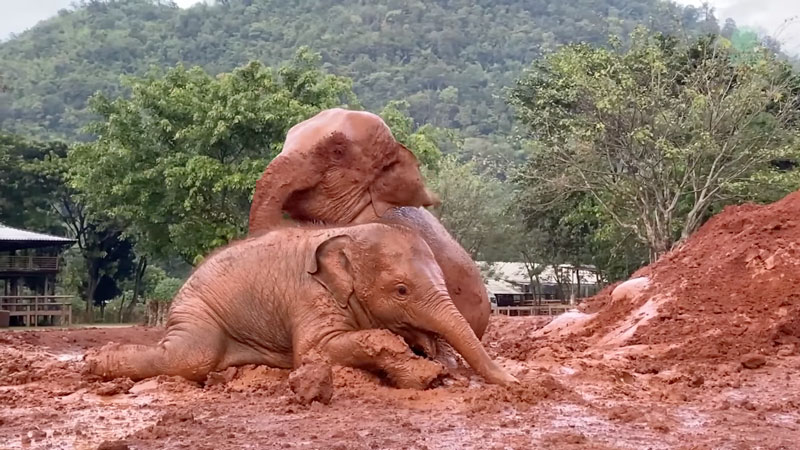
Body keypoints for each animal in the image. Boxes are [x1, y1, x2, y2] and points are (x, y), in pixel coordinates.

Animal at [83, 223, 520, 388]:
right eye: (401, 290)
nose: (518, 384)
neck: (347, 234)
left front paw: (437, 361)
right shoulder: (310, 297)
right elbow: (315, 350)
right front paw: (424, 375)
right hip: (198, 312)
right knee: (189, 357)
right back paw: (94, 362)